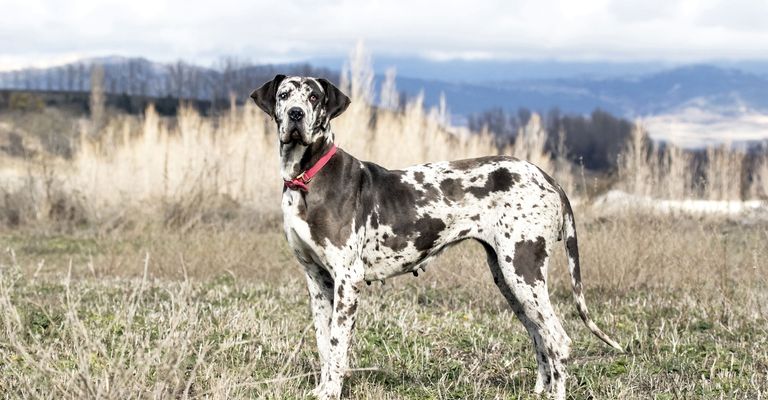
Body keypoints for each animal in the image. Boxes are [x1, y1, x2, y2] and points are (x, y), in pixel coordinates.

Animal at [252, 76, 624, 400]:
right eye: (285, 95)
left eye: (314, 97)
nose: (295, 114)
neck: (307, 178)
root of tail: (548, 178)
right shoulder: (317, 280)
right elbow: (323, 344)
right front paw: (321, 388)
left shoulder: (347, 279)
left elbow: (337, 346)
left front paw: (330, 392)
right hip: (509, 279)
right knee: (539, 336)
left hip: (523, 271)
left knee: (558, 340)